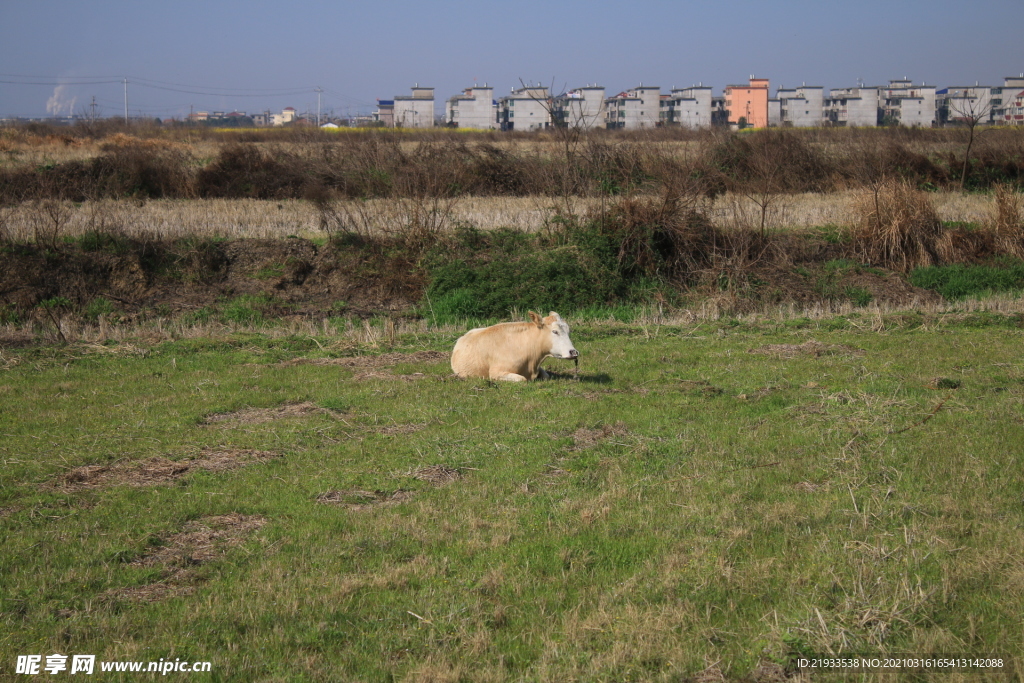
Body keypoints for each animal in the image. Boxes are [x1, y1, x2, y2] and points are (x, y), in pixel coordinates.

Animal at [452, 311, 581, 382]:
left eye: (568, 331)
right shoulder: (495, 372)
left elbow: (546, 376)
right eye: (555, 331)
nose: (573, 352)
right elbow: (521, 379)